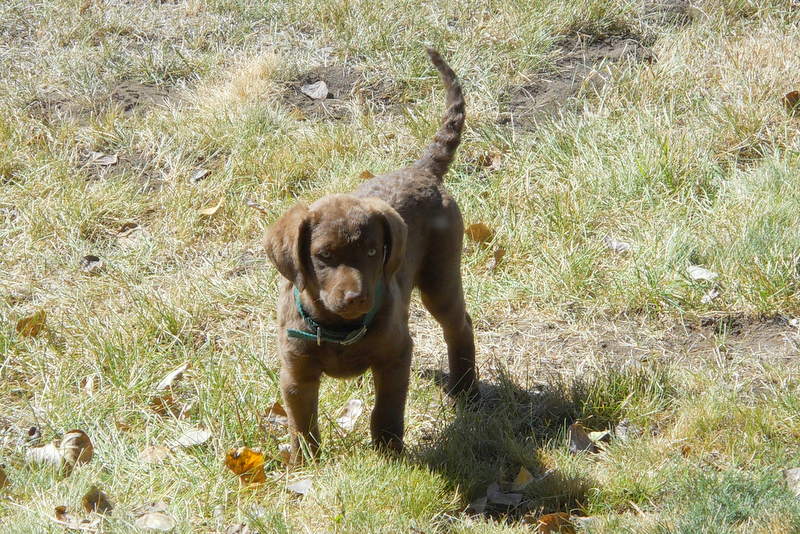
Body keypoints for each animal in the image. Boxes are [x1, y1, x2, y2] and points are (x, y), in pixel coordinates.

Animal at [264, 48, 476, 462]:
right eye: (323, 256)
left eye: (374, 251)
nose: (356, 298)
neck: (337, 328)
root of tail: (422, 171)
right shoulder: (295, 372)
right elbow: (301, 422)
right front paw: (305, 463)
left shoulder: (395, 356)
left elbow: (387, 409)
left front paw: (389, 453)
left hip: (441, 276)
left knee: (460, 325)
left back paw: (465, 388)